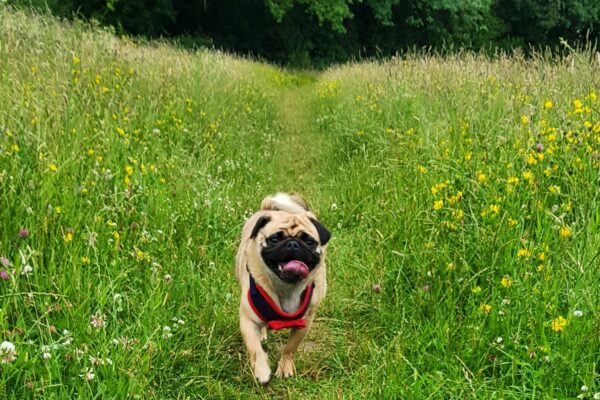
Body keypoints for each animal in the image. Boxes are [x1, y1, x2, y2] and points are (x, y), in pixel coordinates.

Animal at [234, 194, 330, 384]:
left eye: (309, 241)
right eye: (275, 239)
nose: (293, 244)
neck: (285, 288)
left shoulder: (304, 323)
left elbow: (290, 348)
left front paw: (285, 367)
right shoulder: (248, 321)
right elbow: (255, 349)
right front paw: (262, 370)